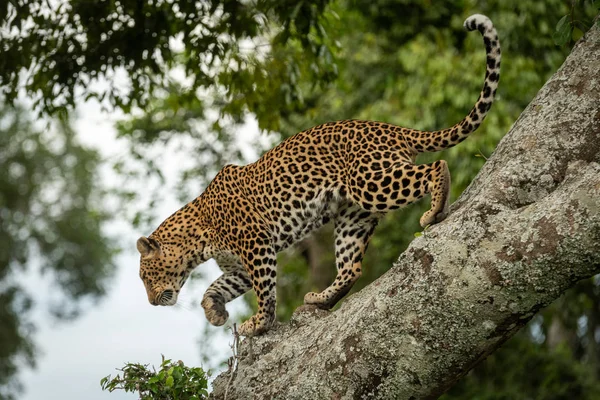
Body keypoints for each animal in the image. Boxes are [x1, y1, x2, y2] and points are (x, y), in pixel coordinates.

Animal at [136, 14, 502, 336]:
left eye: (145, 276)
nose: (151, 303)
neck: (198, 237)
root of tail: (391, 128)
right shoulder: (239, 266)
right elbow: (216, 287)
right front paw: (214, 310)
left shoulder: (257, 245)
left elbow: (264, 290)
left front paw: (259, 323)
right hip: (353, 215)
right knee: (352, 266)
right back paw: (322, 298)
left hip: (371, 181)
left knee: (435, 168)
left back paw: (434, 209)